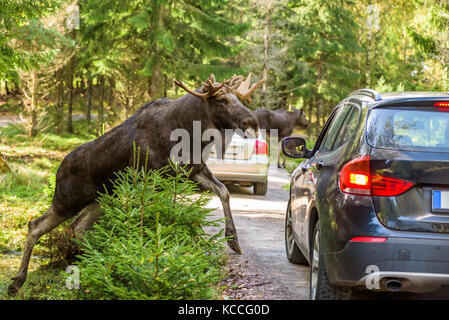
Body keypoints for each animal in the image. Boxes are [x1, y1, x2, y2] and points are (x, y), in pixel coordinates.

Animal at [7, 73, 262, 296]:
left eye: (239, 99)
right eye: (221, 100)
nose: (253, 122)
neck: (192, 135)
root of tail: (58, 170)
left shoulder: (193, 171)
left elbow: (224, 191)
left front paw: (233, 239)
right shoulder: (153, 178)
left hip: (99, 200)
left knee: (77, 227)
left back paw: (100, 258)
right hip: (67, 201)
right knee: (35, 226)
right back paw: (18, 281)